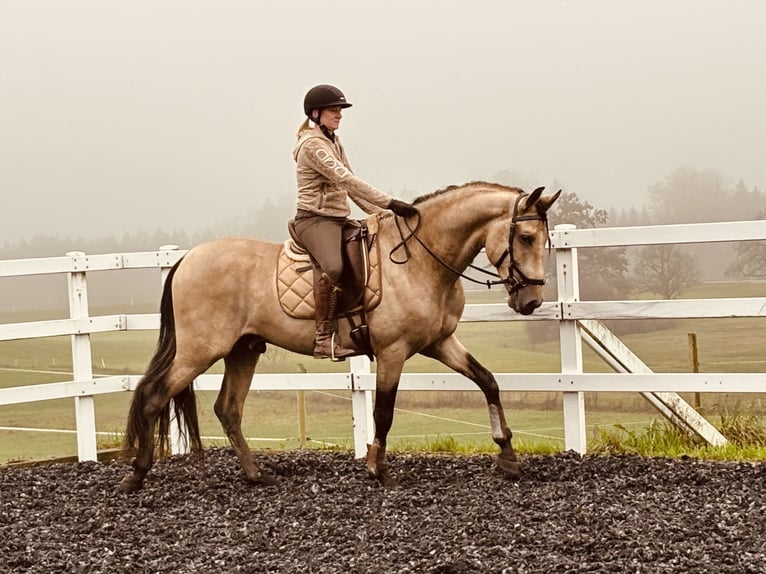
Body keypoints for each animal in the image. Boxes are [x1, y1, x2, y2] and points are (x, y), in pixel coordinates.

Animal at [120, 182, 564, 492]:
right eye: (525, 238)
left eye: (544, 241)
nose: (531, 301)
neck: (420, 260)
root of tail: (186, 259)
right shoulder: (393, 352)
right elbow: (383, 412)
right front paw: (378, 470)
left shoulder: (440, 344)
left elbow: (488, 381)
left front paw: (507, 454)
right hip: (200, 351)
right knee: (154, 396)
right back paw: (136, 476)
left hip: (242, 350)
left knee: (228, 409)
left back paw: (256, 475)